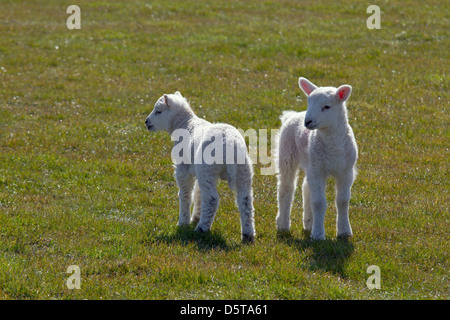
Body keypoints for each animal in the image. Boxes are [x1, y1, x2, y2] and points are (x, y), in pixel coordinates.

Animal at [146, 92, 255, 242]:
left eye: (158, 111)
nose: (146, 122)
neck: (185, 124)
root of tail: (229, 144)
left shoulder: (183, 169)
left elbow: (185, 194)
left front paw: (183, 222)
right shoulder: (196, 169)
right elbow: (198, 194)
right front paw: (195, 218)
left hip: (208, 169)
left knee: (211, 199)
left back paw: (202, 229)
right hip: (242, 170)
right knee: (245, 200)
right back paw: (248, 234)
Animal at [274, 77, 358, 240]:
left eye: (326, 107)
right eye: (309, 103)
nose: (307, 122)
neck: (333, 147)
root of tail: (291, 116)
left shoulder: (346, 171)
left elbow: (343, 201)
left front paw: (344, 231)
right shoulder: (318, 171)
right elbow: (319, 202)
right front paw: (318, 235)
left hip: (311, 162)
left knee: (306, 187)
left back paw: (308, 223)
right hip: (287, 154)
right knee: (286, 189)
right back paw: (283, 225)